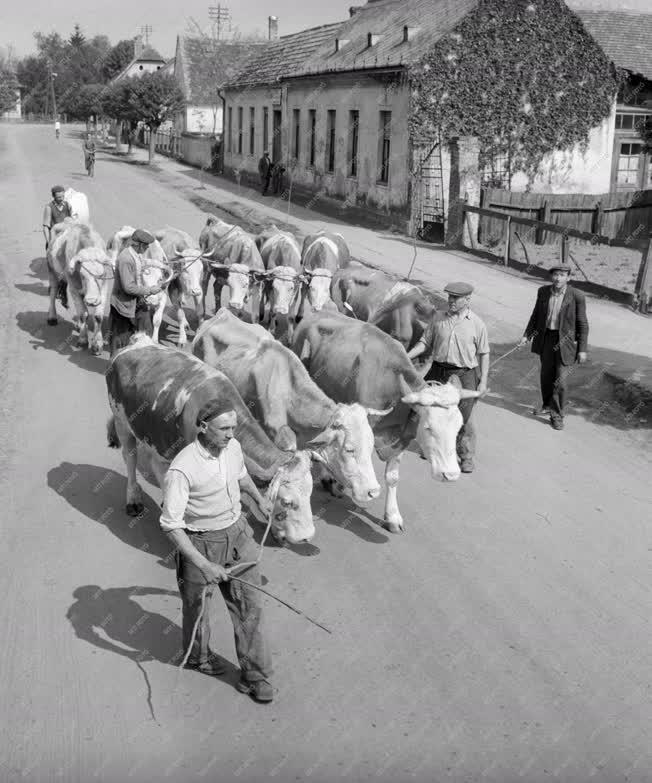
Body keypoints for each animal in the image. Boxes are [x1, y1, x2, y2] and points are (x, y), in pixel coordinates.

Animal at [47, 220, 114, 356]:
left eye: (102, 274)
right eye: (83, 275)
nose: (92, 300)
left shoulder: (103, 289)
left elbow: (98, 317)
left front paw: (97, 345)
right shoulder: (74, 288)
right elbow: (83, 314)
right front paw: (83, 340)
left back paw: (78, 325)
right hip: (52, 271)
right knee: (52, 293)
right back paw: (52, 317)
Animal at [106, 336, 316, 544]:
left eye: (310, 494)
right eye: (287, 501)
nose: (306, 536)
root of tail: (138, 340)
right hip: (121, 421)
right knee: (130, 458)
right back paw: (133, 499)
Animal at [292, 312, 482, 532]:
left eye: (458, 428)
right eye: (428, 428)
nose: (450, 474)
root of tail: (315, 314)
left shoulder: (399, 441)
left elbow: (392, 477)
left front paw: (392, 517)